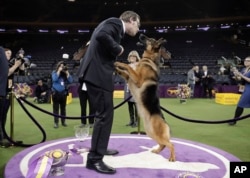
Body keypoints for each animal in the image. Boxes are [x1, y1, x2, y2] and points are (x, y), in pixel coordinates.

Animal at [114, 34, 175, 162]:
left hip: (157, 134)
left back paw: (172, 158)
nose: (141, 34)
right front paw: (116, 67)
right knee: (163, 144)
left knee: (171, 144)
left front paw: (119, 63)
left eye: (150, 39)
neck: (149, 59)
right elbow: (125, 71)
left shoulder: (137, 79)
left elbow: (128, 66)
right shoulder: (129, 78)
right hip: (151, 133)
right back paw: (156, 151)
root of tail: (165, 122)